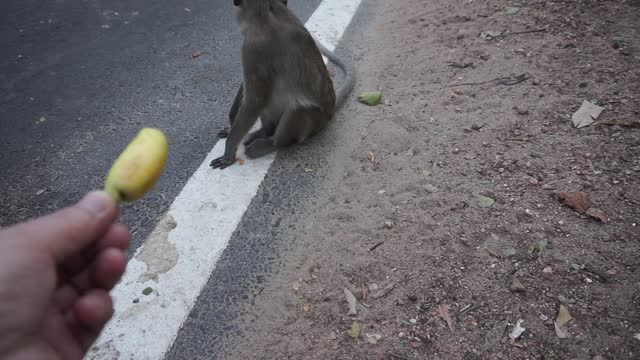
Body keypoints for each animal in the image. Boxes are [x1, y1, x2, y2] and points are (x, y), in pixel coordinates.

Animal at [214, 0, 356, 169]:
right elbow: (253, 91)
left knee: (299, 109)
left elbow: (255, 99)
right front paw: (231, 121)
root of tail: (330, 113)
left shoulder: (254, 47)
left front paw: (229, 150)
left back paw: (272, 143)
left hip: (314, 121)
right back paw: (265, 131)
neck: (267, 13)